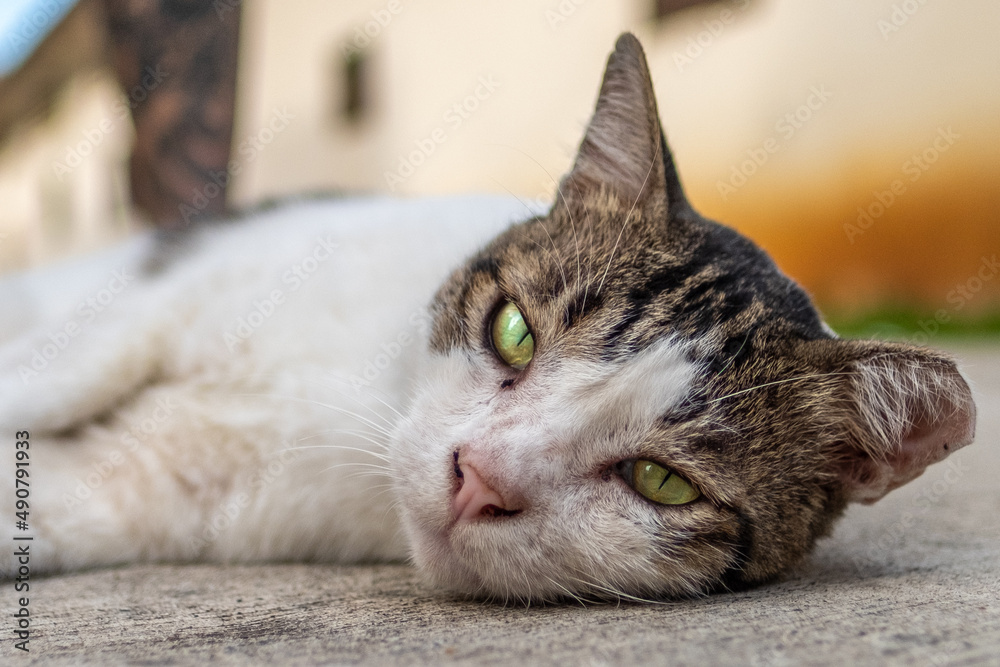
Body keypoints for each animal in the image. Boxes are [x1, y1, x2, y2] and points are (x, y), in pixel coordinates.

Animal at [0, 34, 972, 604]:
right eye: (514, 331)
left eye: (662, 482)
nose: (476, 477)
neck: (367, 393)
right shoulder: (176, 288)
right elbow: (67, 366)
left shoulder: (152, 491)